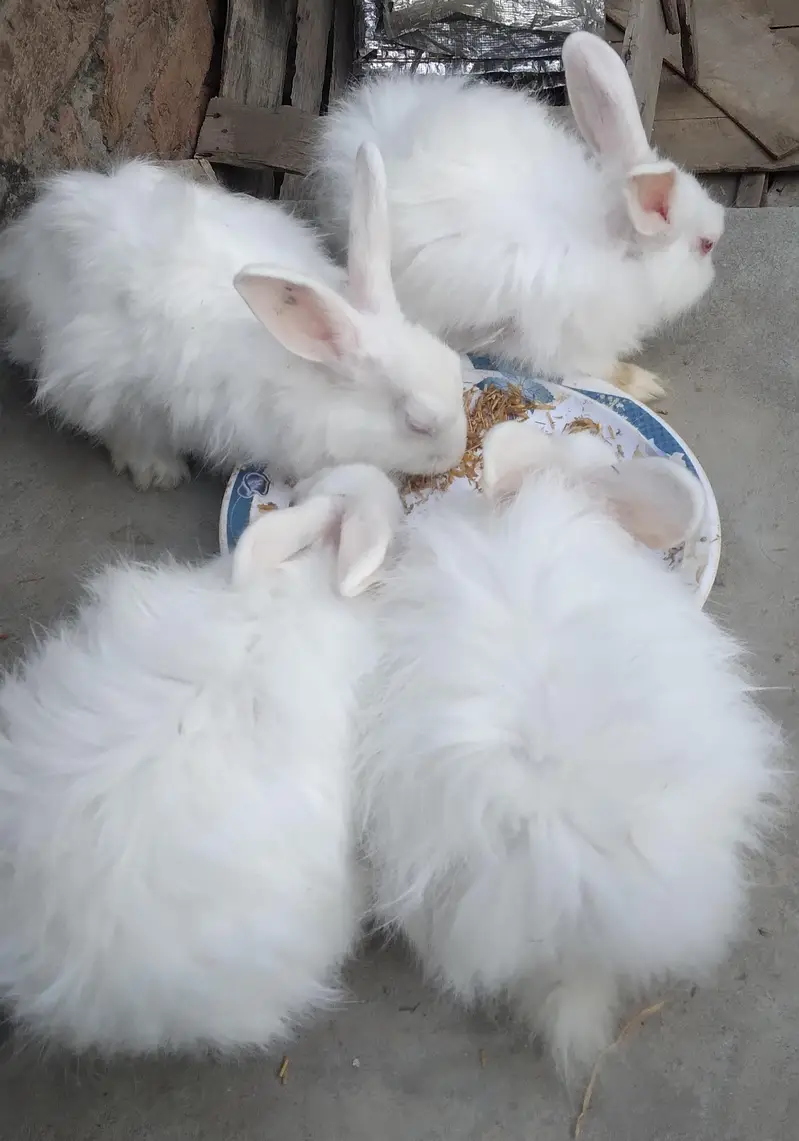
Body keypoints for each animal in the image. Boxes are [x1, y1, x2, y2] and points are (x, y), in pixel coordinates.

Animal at [0, 145, 467, 491]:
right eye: (417, 423)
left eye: (455, 368)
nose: (457, 453)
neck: (301, 372)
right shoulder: (131, 391)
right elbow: (136, 428)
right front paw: (158, 473)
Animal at [314, 31, 726, 404]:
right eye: (705, 245)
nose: (711, 279)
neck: (619, 248)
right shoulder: (566, 339)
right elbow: (599, 367)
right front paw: (646, 384)